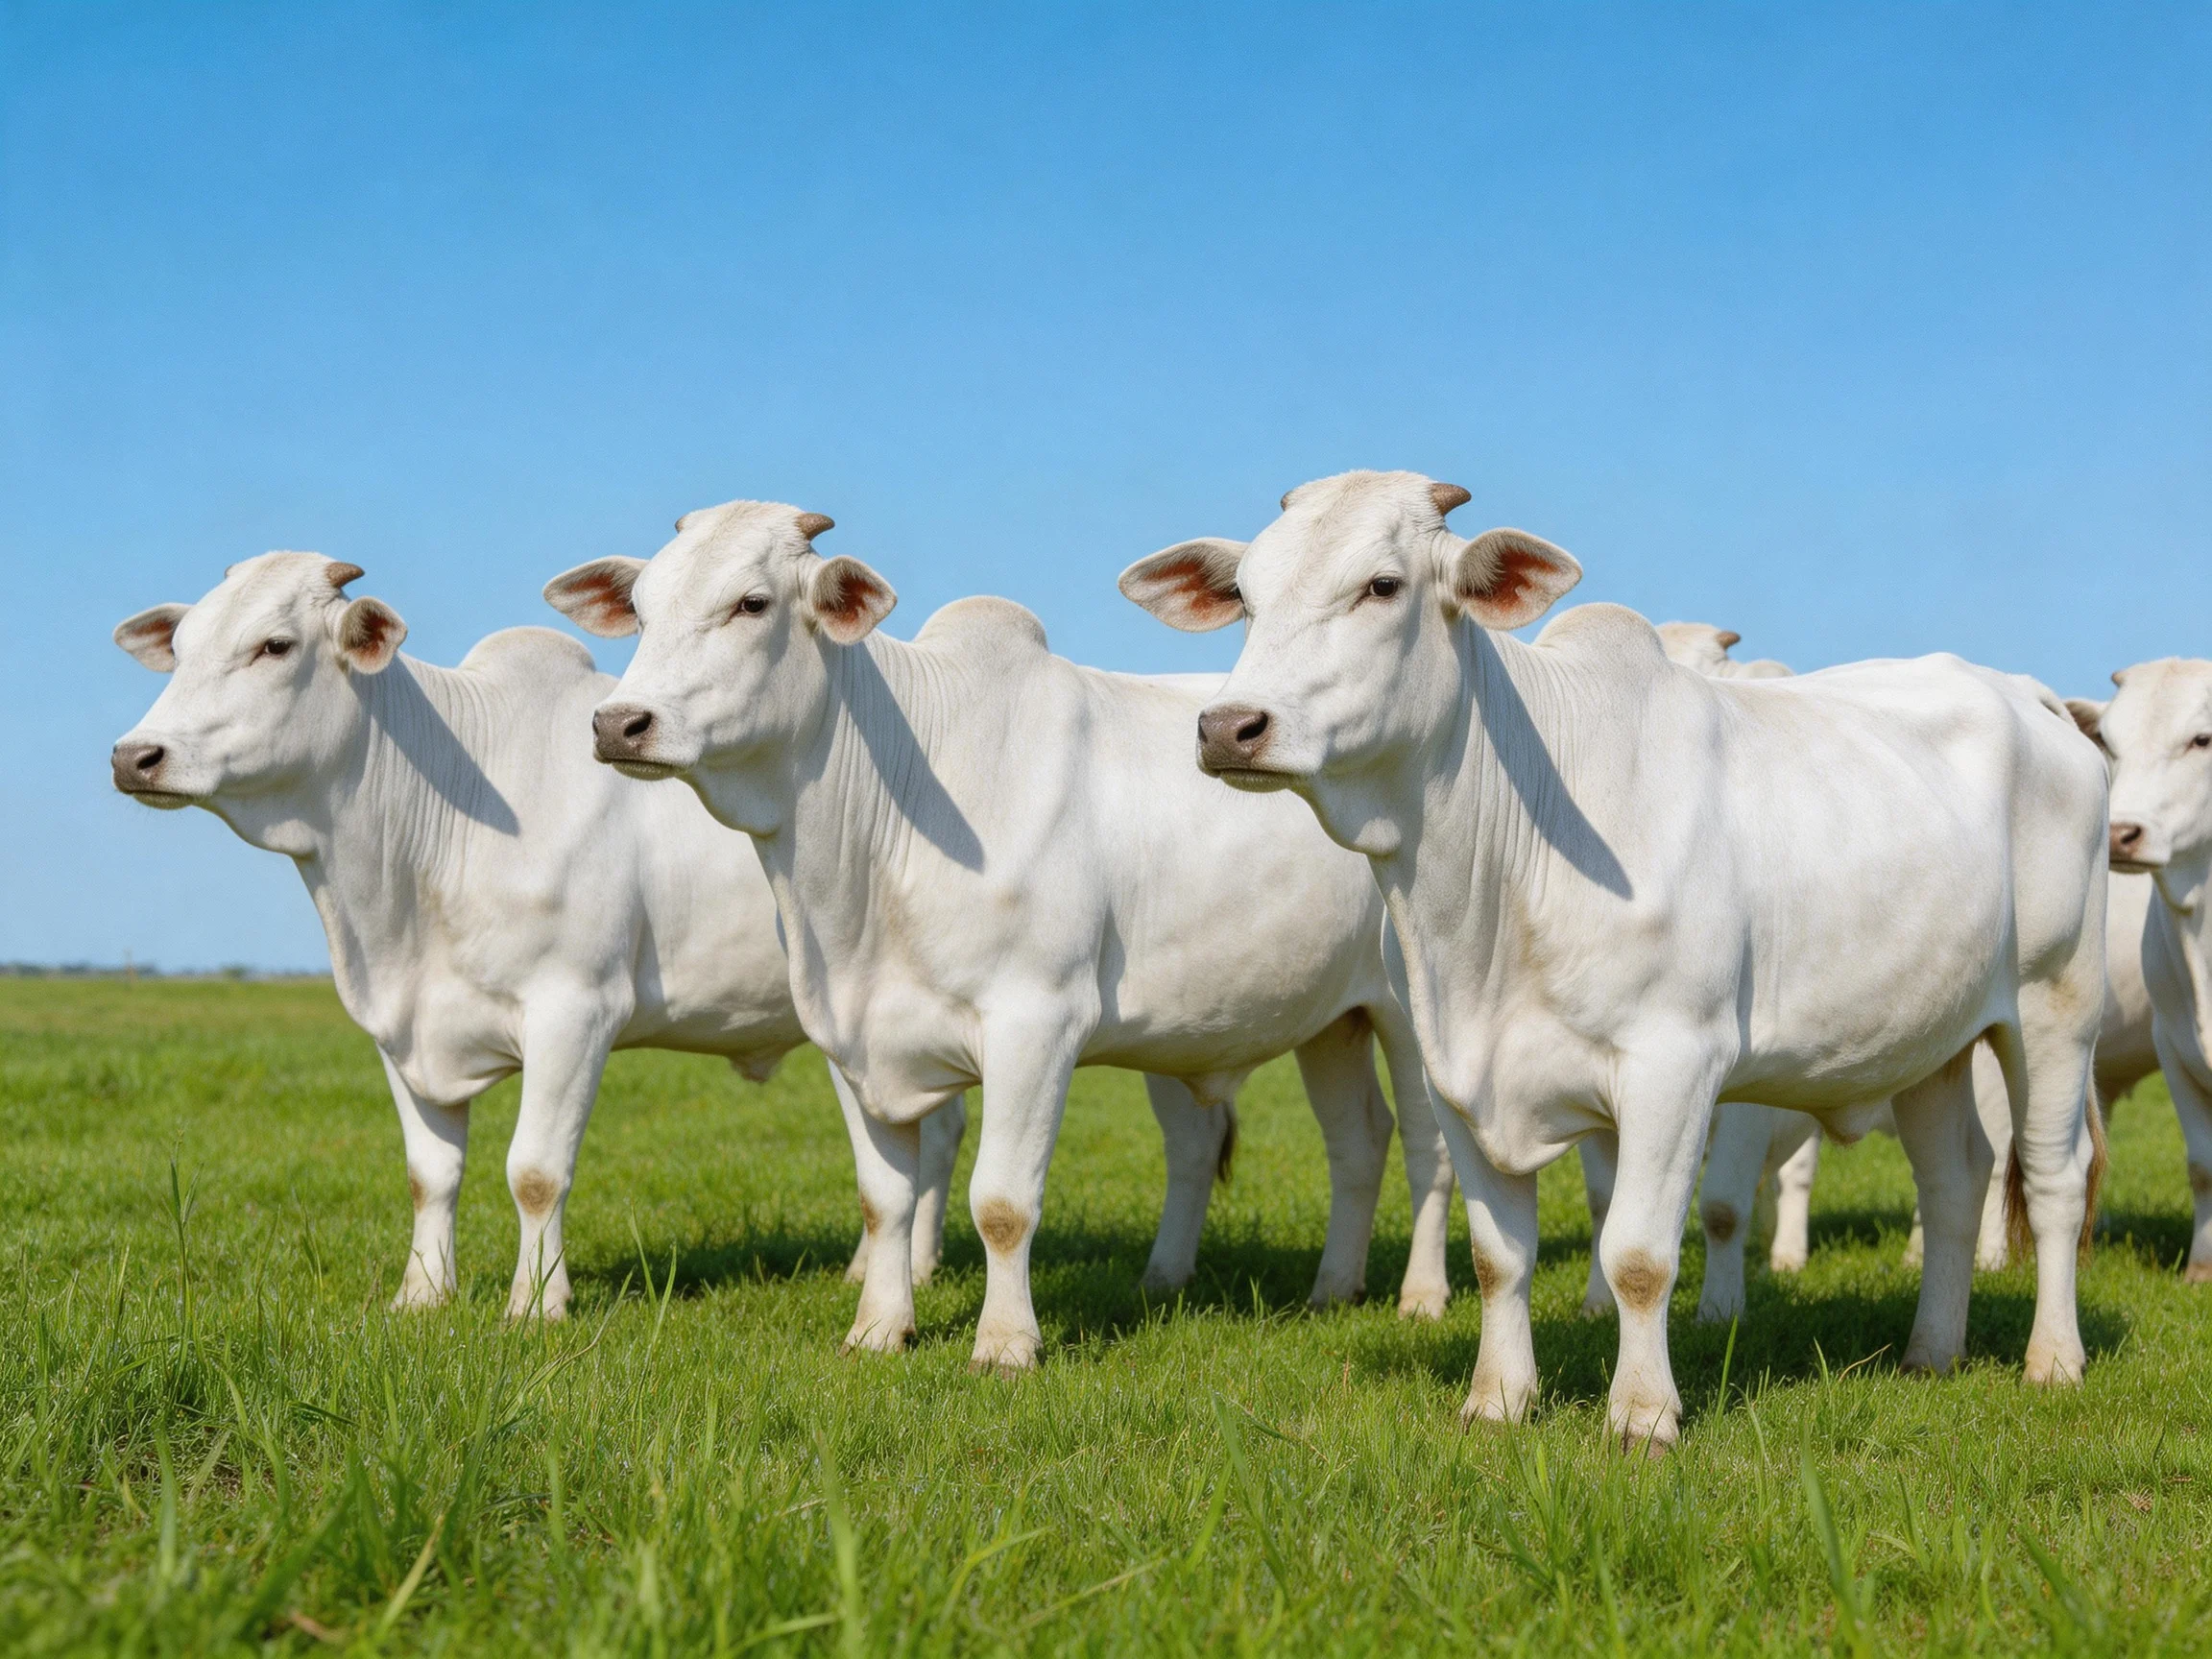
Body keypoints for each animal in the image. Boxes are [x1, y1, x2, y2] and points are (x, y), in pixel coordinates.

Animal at [110, 551, 991, 1323]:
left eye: (275, 645)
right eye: (179, 650)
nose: (134, 754)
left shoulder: (575, 1008)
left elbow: (535, 1171)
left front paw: (536, 1305)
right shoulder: (399, 1025)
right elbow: (429, 1174)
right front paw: (421, 1296)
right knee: (936, 1126)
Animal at [543, 500, 1461, 1371]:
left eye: (751, 602)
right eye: (641, 606)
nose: (618, 722)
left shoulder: (1036, 1021)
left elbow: (1002, 1202)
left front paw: (1007, 1344)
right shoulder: (847, 1035)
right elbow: (884, 1200)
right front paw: (878, 1329)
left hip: (1409, 1012)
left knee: (1427, 1145)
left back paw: (1420, 1297)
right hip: (1329, 1019)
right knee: (1355, 1142)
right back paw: (1326, 1288)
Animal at [1122, 469, 2109, 1451]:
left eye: (1382, 585)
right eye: (1247, 597)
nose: (1229, 726)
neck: (1482, 908)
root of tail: (2031, 696)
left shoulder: (1677, 1062)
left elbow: (1637, 1255)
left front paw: (1643, 1414)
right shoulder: (1454, 1078)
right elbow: (1498, 1257)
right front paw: (1498, 1399)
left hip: (2056, 1004)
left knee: (2052, 1180)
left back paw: (2054, 1360)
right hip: (1932, 1039)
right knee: (1954, 1181)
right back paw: (1931, 1351)